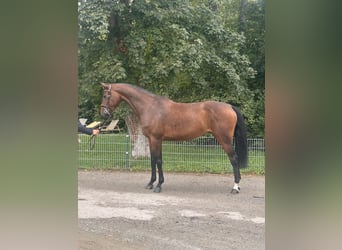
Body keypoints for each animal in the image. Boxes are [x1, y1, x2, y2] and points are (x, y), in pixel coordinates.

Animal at [100, 83, 247, 194]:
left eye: (105, 95)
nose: (103, 114)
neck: (150, 107)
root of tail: (230, 106)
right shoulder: (151, 140)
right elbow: (153, 161)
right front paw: (150, 183)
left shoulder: (156, 139)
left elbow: (158, 161)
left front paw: (159, 186)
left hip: (224, 140)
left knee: (234, 159)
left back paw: (235, 187)